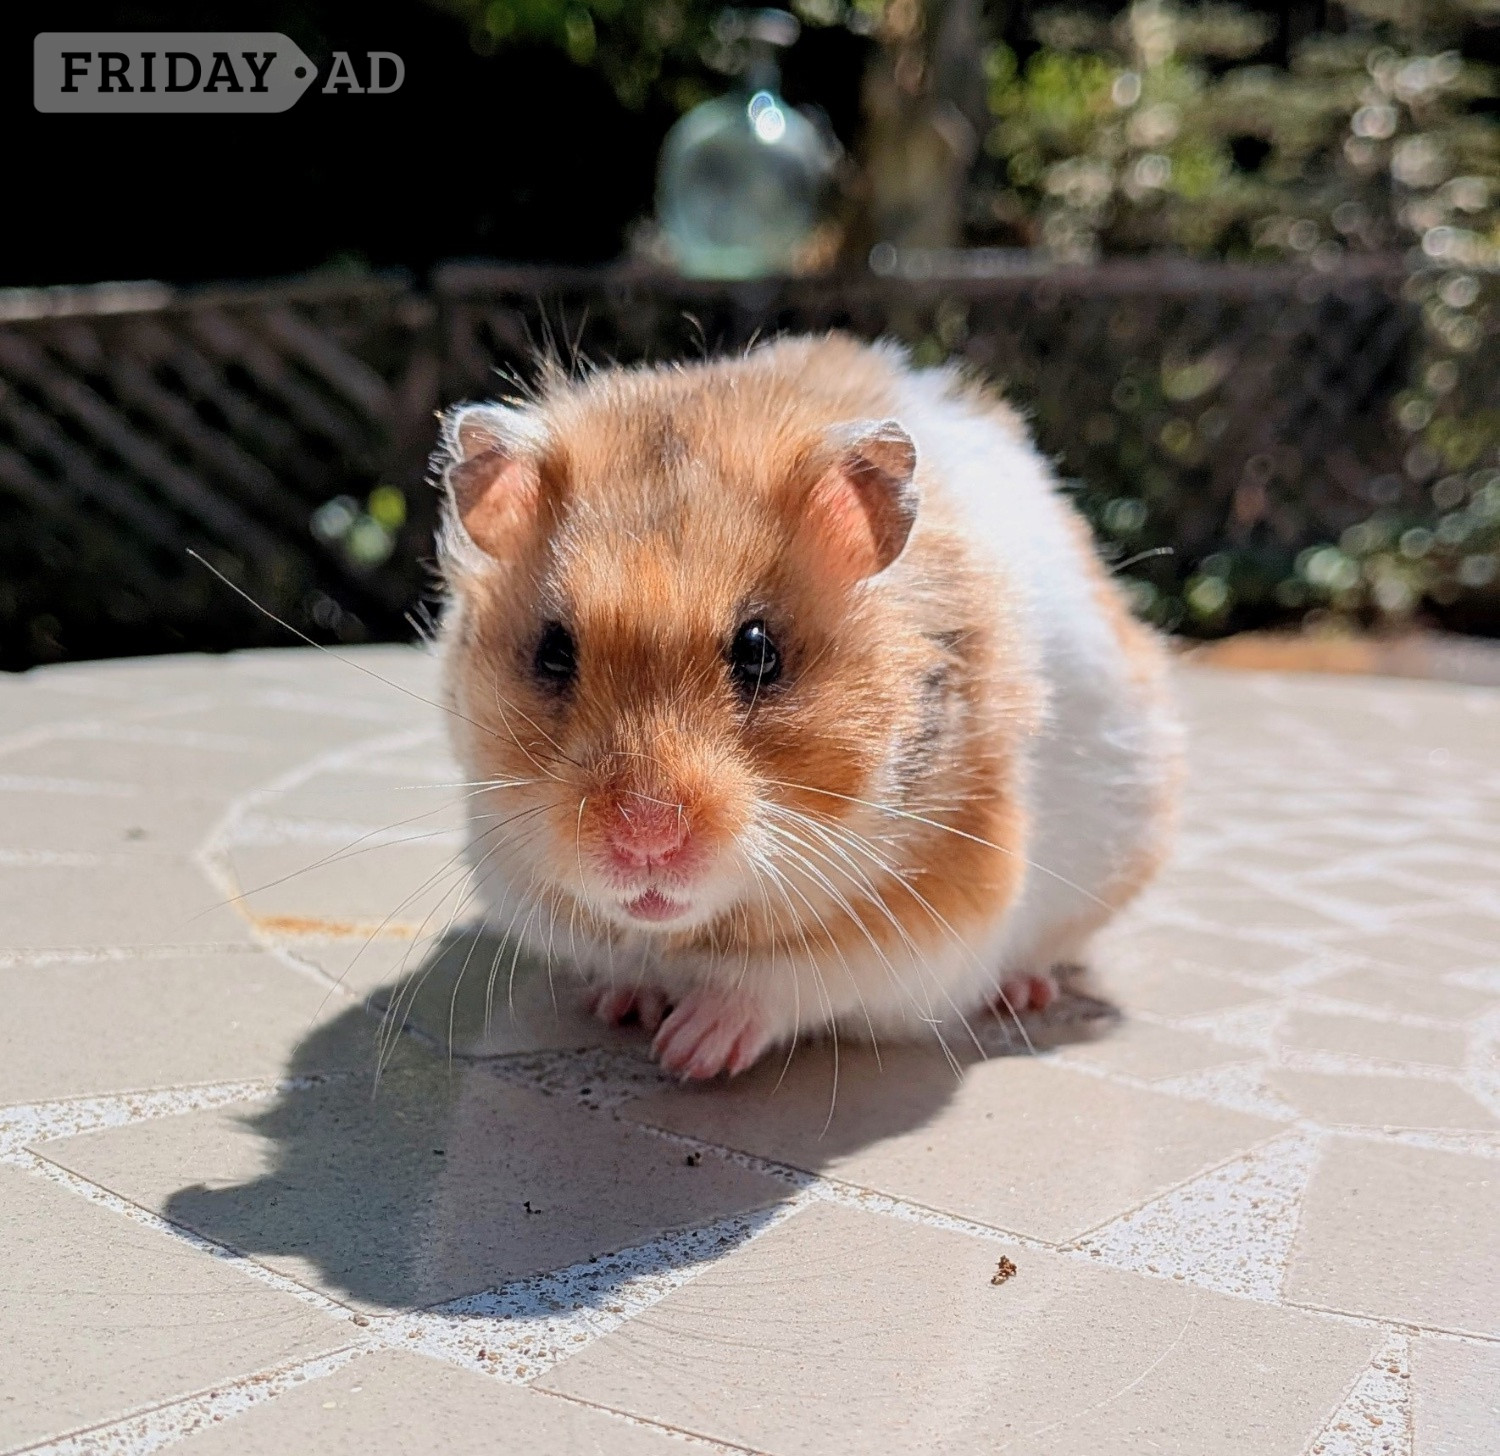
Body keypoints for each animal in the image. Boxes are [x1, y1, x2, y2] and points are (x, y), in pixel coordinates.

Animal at [435, 334, 1180, 1080]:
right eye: (552, 653)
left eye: (760, 652)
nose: (645, 841)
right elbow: (626, 961)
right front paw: (625, 1006)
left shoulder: (934, 910)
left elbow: (781, 983)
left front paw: (688, 1052)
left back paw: (1025, 992)